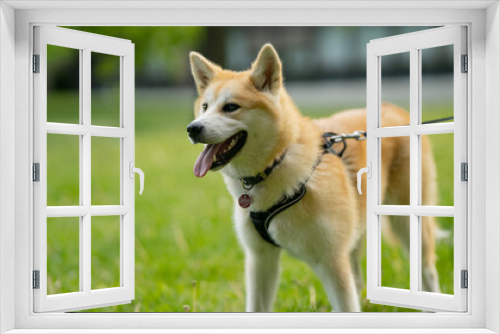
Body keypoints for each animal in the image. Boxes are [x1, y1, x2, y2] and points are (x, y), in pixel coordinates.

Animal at [186, 43, 440, 312]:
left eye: (231, 107)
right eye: (205, 107)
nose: (192, 128)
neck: (276, 163)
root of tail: (393, 107)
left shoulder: (332, 262)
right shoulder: (260, 260)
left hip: (408, 224)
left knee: (427, 272)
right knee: (359, 279)